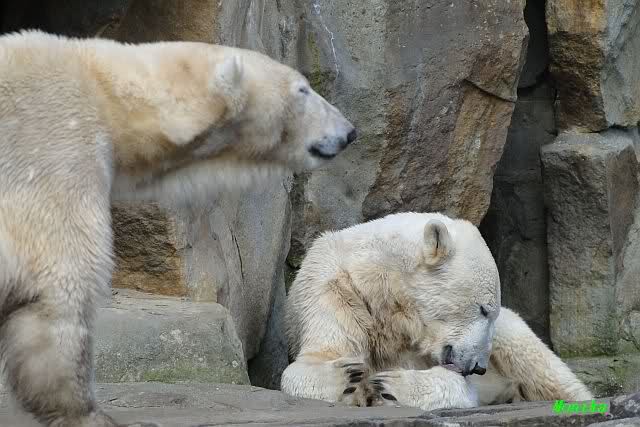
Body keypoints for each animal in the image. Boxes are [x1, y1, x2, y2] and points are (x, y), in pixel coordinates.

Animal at [0, 30, 356, 427]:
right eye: (303, 90)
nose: (349, 132)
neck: (108, 95)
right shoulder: (53, 147)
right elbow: (61, 284)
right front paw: (87, 414)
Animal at [282, 212, 592, 411]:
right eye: (483, 309)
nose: (479, 367)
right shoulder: (332, 289)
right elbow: (315, 359)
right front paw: (348, 374)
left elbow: (459, 386)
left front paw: (389, 386)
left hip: (511, 333)